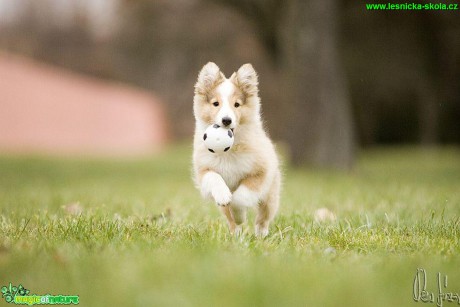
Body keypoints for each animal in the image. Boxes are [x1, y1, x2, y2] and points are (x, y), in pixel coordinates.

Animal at [193, 62, 280, 238]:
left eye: (237, 105)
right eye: (216, 104)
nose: (226, 120)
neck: (229, 151)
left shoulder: (260, 173)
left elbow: (240, 198)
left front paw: (239, 214)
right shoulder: (204, 169)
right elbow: (214, 178)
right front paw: (224, 195)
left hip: (270, 195)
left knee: (263, 217)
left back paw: (261, 234)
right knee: (230, 219)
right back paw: (237, 235)